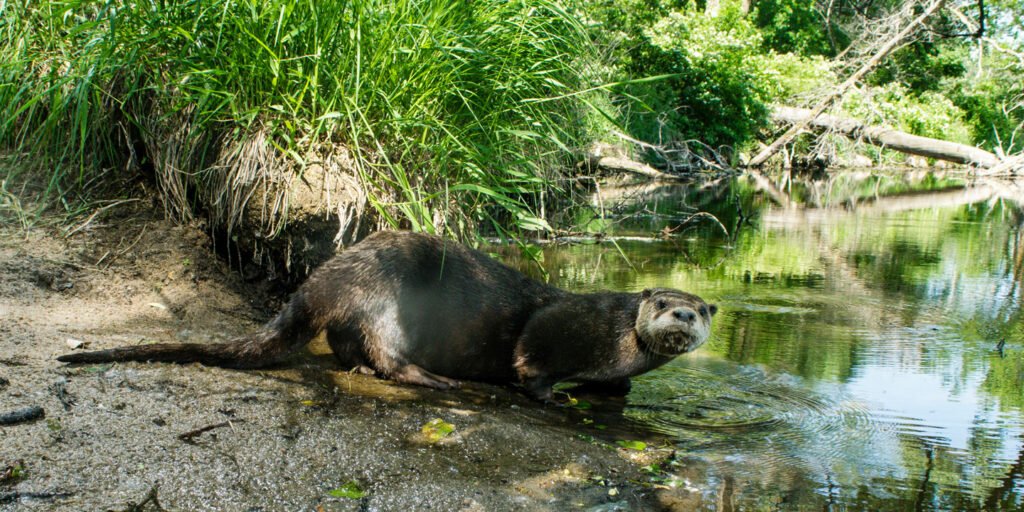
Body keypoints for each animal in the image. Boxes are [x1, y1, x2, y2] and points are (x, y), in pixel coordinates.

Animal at [54, 230, 712, 401]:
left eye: (700, 311)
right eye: (661, 303)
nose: (683, 314)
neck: (614, 339)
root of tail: (326, 275)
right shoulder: (560, 324)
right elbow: (531, 361)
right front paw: (553, 397)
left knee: (352, 350)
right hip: (385, 302)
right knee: (387, 356)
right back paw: (434, 379)